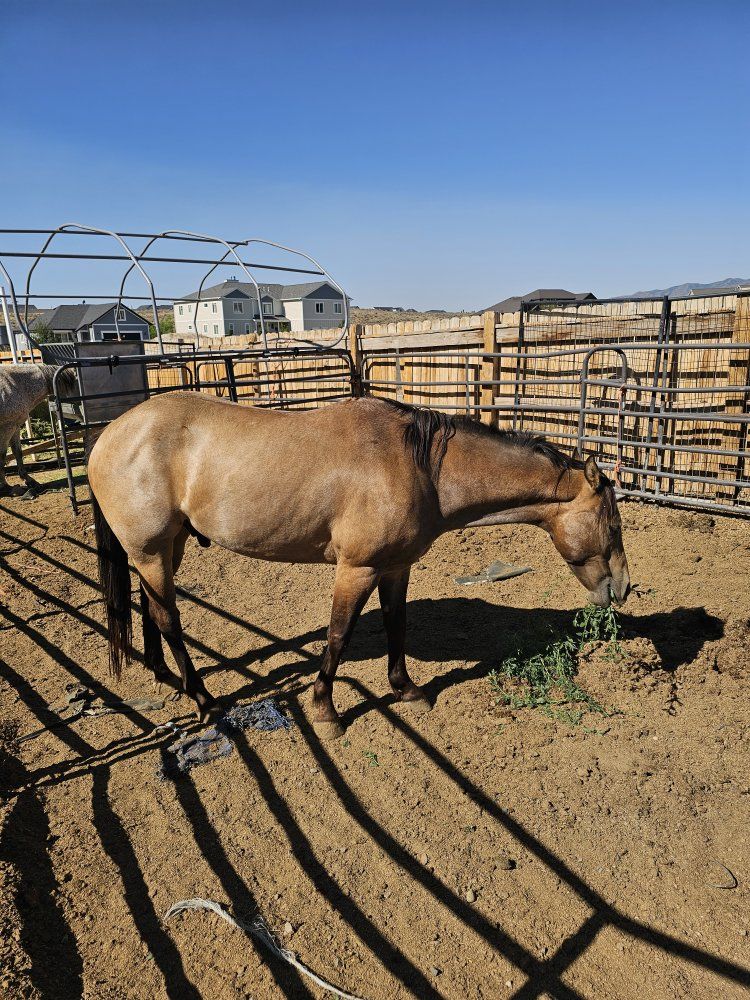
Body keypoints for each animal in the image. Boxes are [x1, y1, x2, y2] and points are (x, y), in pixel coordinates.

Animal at [0, 363, 76, 495]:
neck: (15, 384)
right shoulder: (6, 428)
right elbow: (2, 456)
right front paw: (5, 486)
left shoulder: (15, 427)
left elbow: (17, 452)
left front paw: (29, 480)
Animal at [88, 393, 630, 735]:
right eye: (613, 522)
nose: (623, 588)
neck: (418, 468)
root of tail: (108, 436)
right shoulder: (357, 569)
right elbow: (338, 634)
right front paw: (325, 710)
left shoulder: (394, 568)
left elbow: (396, 624)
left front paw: (406, 689)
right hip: (152, 551)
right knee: (167, 618)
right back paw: (203, 698)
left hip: (165, 548)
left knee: (150, 610)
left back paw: (167, 678)